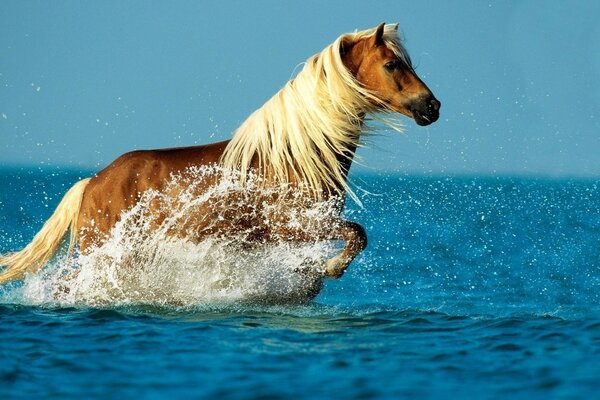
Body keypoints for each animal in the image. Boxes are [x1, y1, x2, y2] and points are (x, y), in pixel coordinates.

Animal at [0, 22, 440, 288]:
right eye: (391, 64)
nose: (432, 106)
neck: (295, 158)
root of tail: (92, 183)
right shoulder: (294, 227)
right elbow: (357, 234)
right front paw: (329, 269)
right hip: (102, 253)